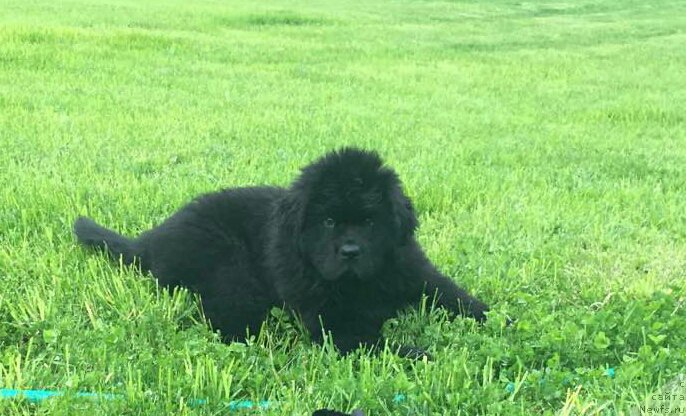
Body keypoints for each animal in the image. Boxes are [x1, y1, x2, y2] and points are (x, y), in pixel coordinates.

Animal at [75, 148, 490, 352]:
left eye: (371, 221)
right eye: (328, 221)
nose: (350, 252)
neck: (360, 284)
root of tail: (149, 238)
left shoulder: (415, 273)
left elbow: (457, 297)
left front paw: (496, 321)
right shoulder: (332, 321)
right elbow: (371, 343)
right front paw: (426, 355)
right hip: (228, 263)